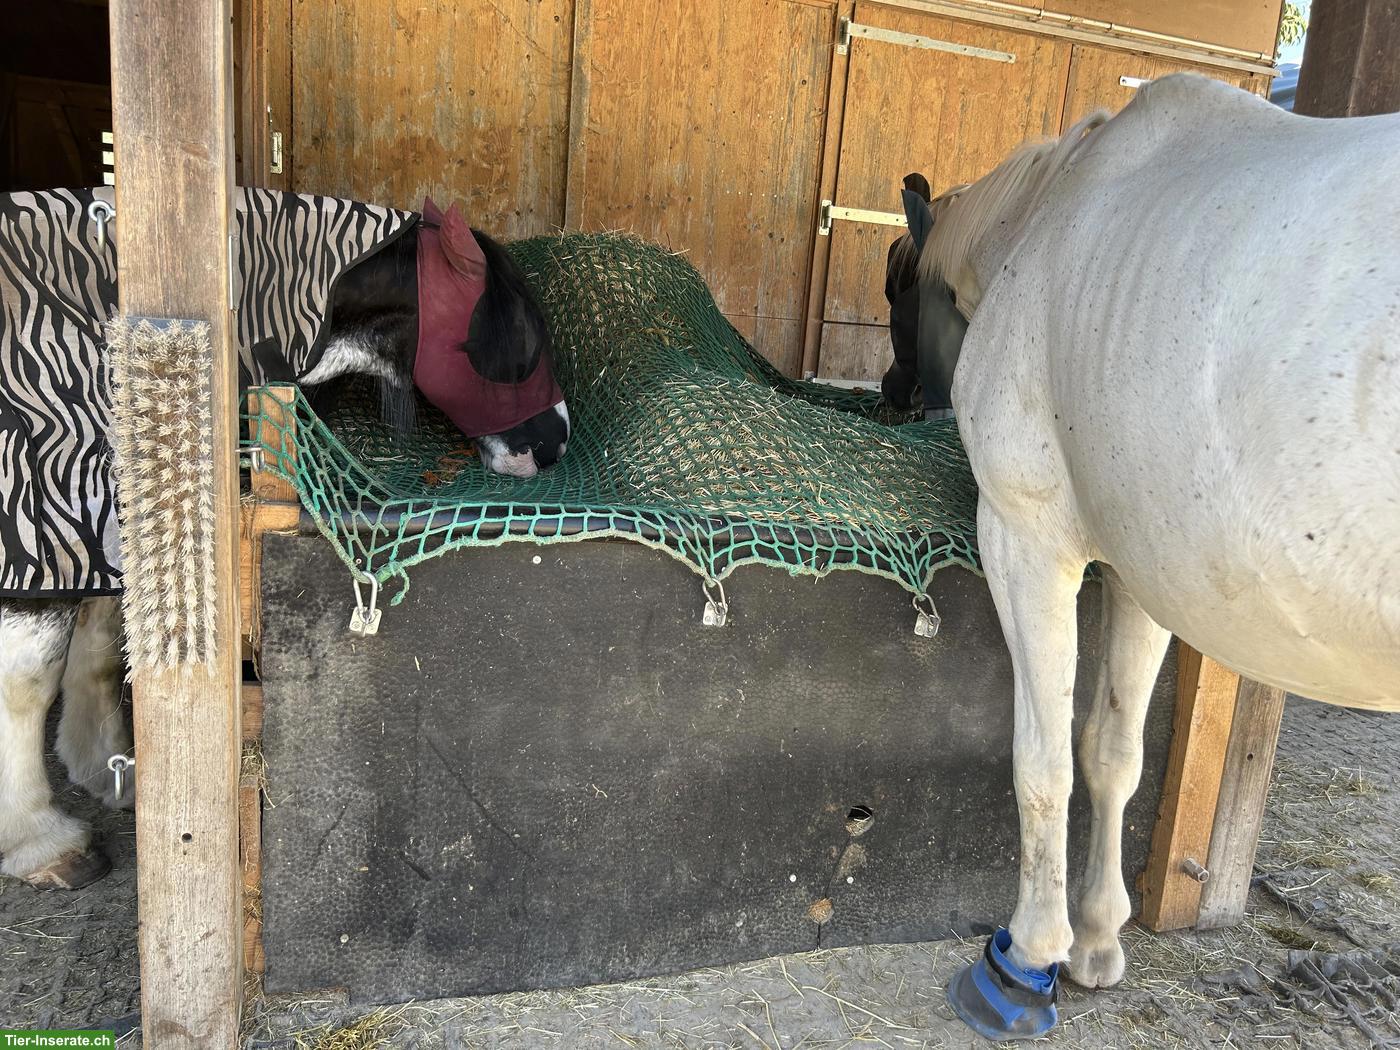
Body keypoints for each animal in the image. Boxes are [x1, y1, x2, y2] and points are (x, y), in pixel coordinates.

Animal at [0, 209, 568, 889]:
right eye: (523, 341)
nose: (555, 444)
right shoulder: (42, 527)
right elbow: (28, 680)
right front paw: (37, 838)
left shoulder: (107, 517)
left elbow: (106, 643)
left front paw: (114, 770)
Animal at [894, 73, 1400, 1039]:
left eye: (898, 295)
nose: (891, 392)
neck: (1047, 226)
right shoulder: (1139, 580)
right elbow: (1110, 754)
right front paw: (1095, 939)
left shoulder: (1024, 540)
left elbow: (1043, 760)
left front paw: (1029, 959)